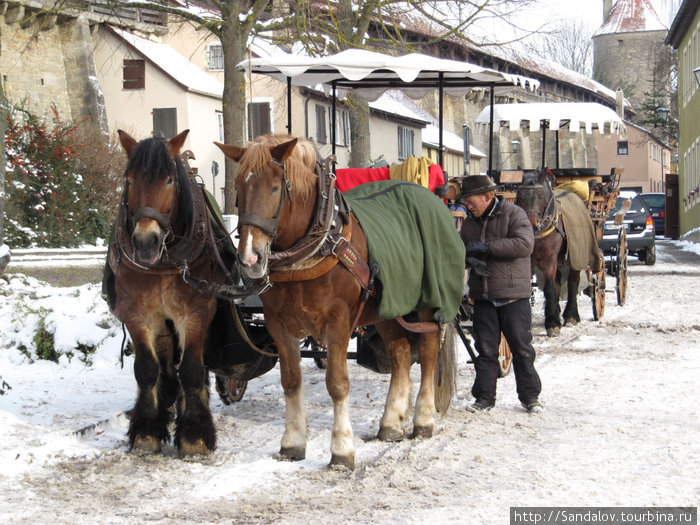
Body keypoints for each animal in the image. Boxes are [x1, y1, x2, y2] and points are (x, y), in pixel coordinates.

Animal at [108, 130, 231, 454]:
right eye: (129, 180)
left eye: (169, 180)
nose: (145, 241)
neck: (163, 262)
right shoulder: (138, 314)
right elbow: (147, 369)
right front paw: (146, 430)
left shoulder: (196, 314)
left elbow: (191, 370)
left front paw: (194, 435)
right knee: (164, 366)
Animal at [216, 135, 456, 470]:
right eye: (239, 186)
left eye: (276, 187)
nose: (250, 258)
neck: (310, 251)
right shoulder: (278, 324)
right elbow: (291, 381)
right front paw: (292, 442)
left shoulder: (338, 321)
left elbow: (337, 382)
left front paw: (342, 449)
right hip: (389, 307)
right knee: (400, 353)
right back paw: (391, 423)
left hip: (427, 303)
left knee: (430, 351)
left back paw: (422, 419)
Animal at [516, 170, 580, 338]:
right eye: (520, 195)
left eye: (541, 196)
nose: (531, 224)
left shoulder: (549, 260)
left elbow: (550, 287)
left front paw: (552, 324)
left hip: (576, 257)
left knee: (572, 282)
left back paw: (571, 315)